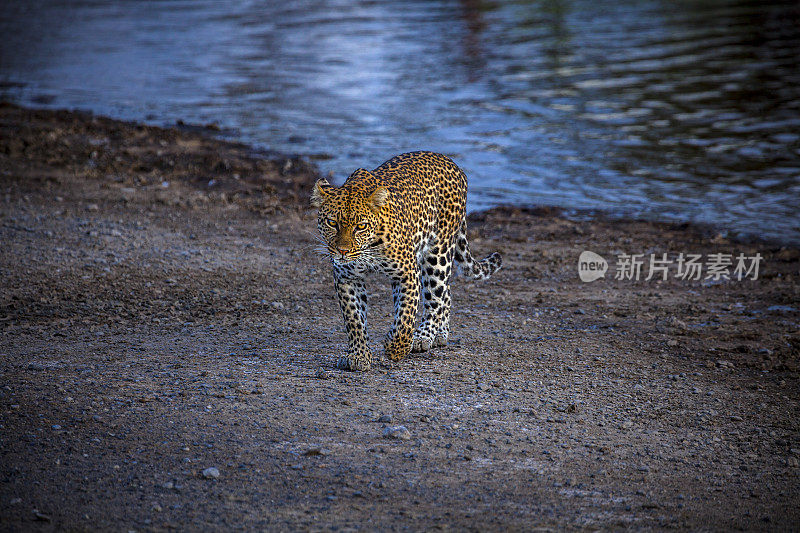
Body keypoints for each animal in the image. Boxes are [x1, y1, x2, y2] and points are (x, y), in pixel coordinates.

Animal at [308, 152, 500, 372]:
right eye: (332, 223)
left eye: (361, 226)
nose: (342, 251)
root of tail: (452, 163)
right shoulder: (347, 278)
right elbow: (354, 319)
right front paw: (359, 355)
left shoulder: (407, 274)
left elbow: (406, 316)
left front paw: (396, 348)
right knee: (447, 292)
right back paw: (440, 333)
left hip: (437, 253)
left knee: (436, 297)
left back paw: (423, 336)